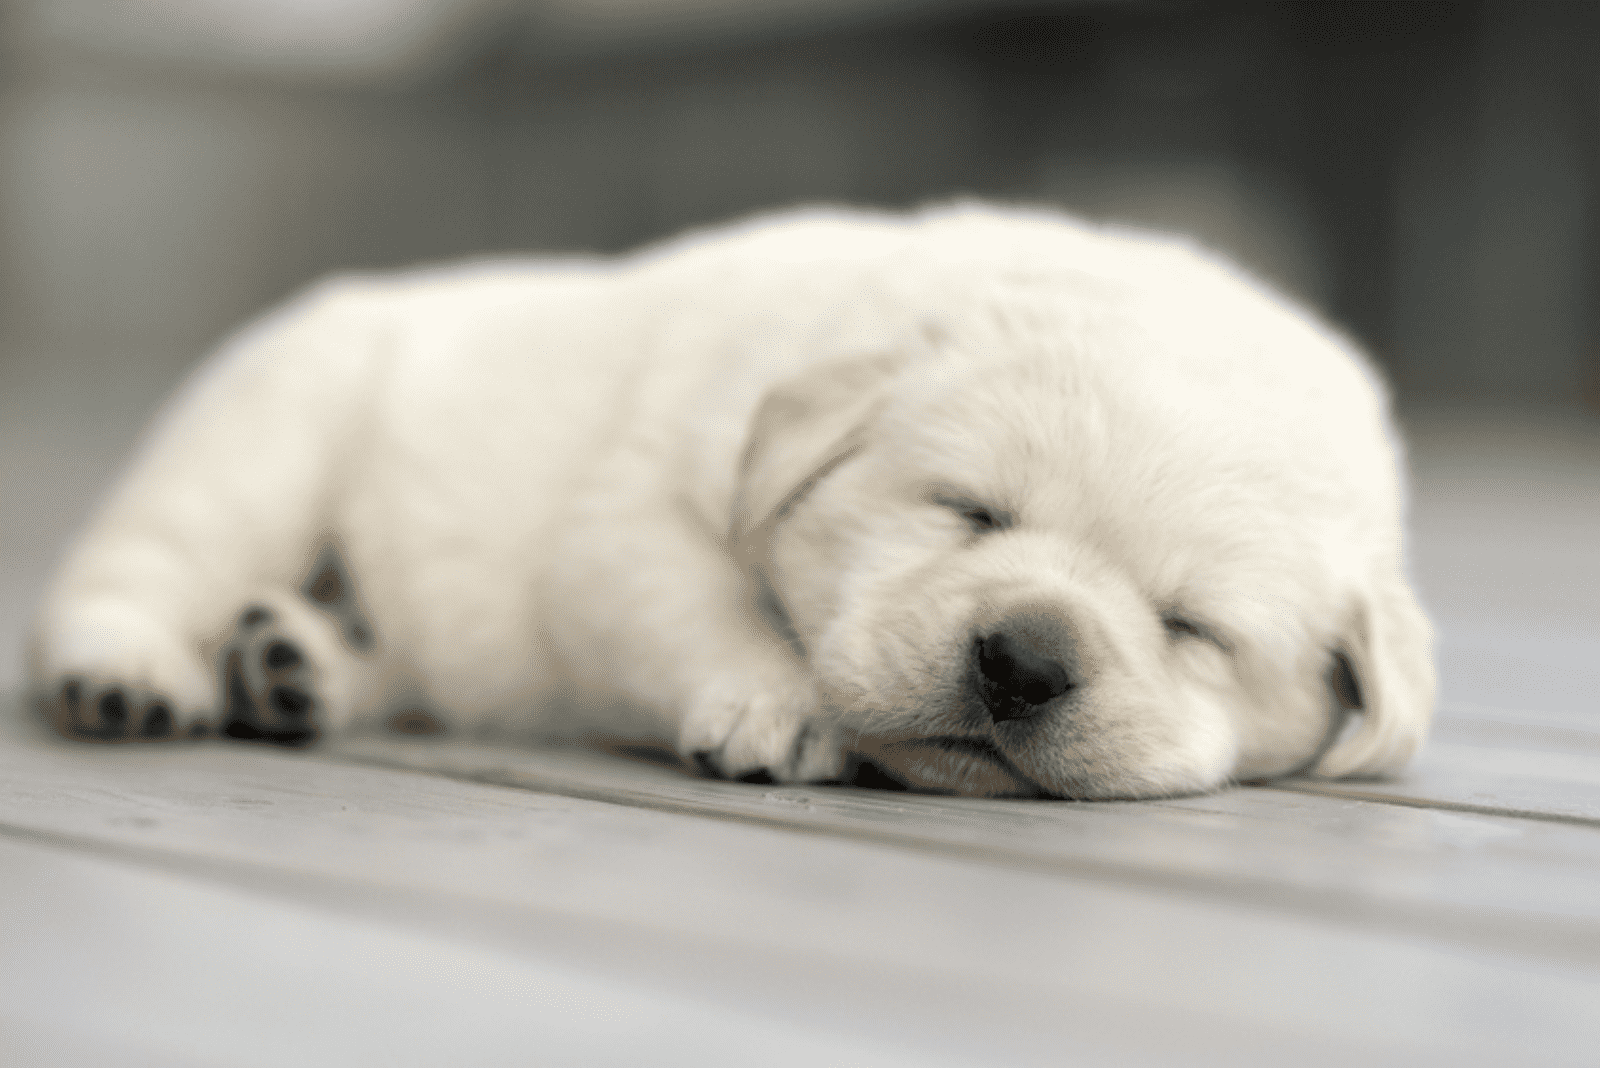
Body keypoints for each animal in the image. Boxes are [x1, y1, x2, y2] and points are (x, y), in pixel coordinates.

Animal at [25, 204, 1433, 796]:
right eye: (967, 512)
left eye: (1192, 627)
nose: (1024, 661)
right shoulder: (628, 519)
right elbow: (701, 605)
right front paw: (778, 704)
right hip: (267, 436)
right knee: (136, 565)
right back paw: (132, 673)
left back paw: (294, 665)